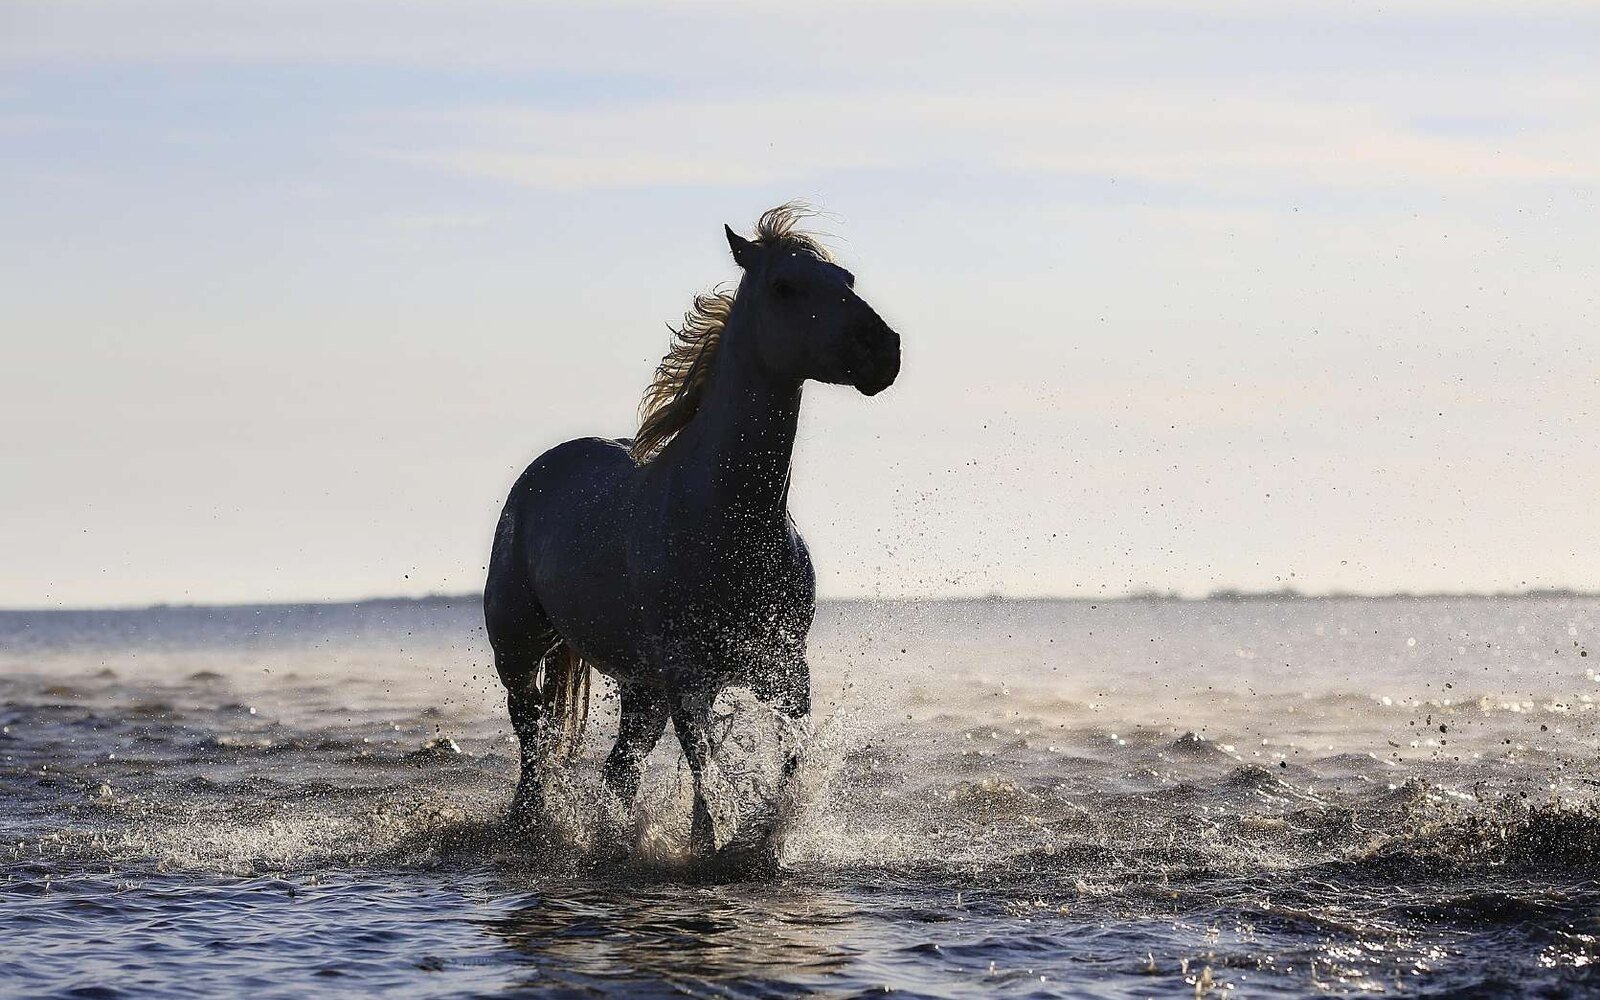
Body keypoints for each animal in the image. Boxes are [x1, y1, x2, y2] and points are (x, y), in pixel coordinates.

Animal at [484, 204, 901, 859]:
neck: (728, 519)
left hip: (639, 688)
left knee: (617, 770)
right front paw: (711, 841)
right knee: (535, 750)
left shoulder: (785, 668)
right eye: (785, 286)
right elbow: (705, 768)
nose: (884, 350)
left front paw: (766, 835)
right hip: (521, 651)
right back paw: (530, 827)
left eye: (847, 279)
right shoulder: (688, 675)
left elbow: (790, 760)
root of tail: (539, 473)